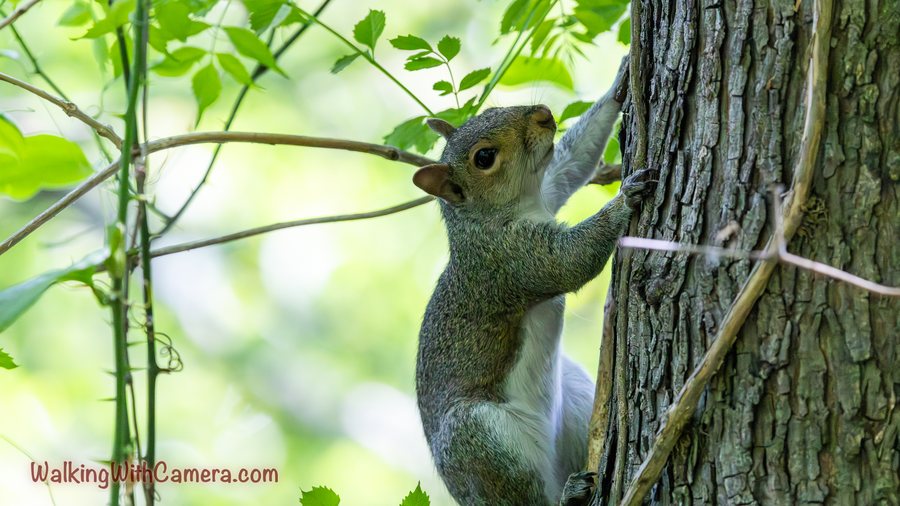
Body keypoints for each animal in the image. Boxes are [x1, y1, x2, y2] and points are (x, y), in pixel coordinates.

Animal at [412, 56, 654, 506]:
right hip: (478, 439)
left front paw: (619, 83)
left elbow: (572, 162)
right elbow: (569, 262)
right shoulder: (511, 261)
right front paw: (624, 199)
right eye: (484, 158)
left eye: (488, 111)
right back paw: (568, 496)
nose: (542, 115)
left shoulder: (548, 190)